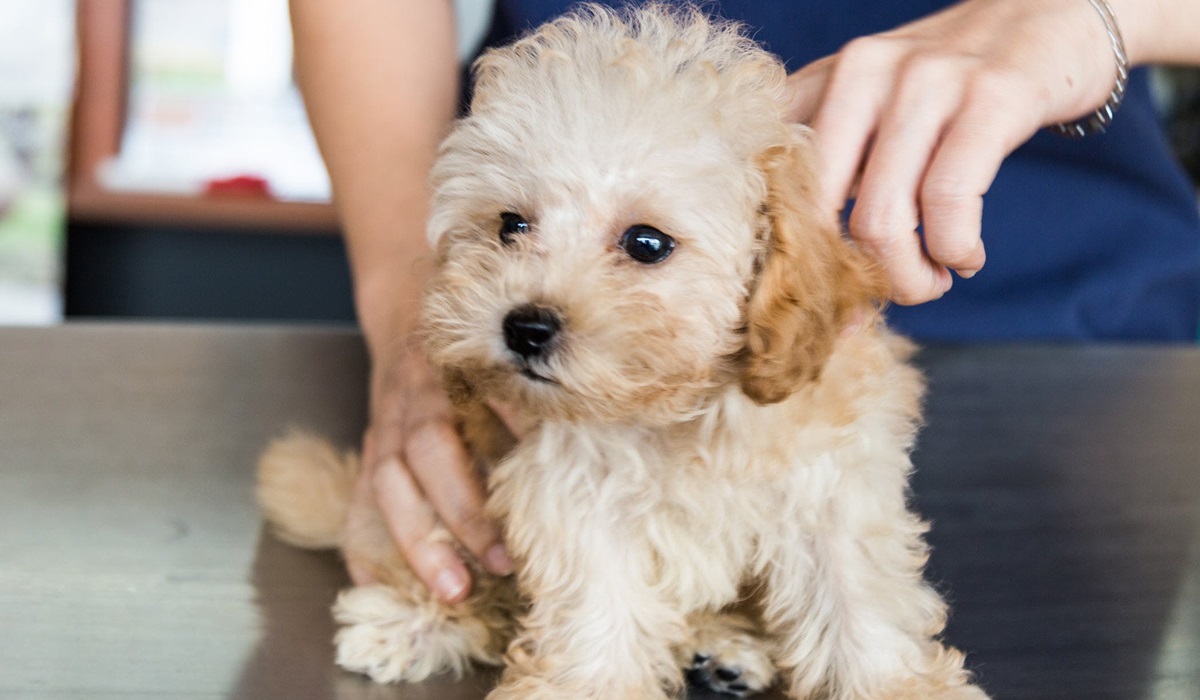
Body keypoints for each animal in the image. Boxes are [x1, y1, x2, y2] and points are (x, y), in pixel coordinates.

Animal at [260, 6, 984, 700]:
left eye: (646, 243)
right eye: (511, 226)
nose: (525, 327)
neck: (673, 408)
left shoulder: (831, 481)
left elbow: (855, 598)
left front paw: (895, 685)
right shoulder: (571, 493)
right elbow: (597, 608)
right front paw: (586, 687)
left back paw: (723, 647)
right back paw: (412, 619)